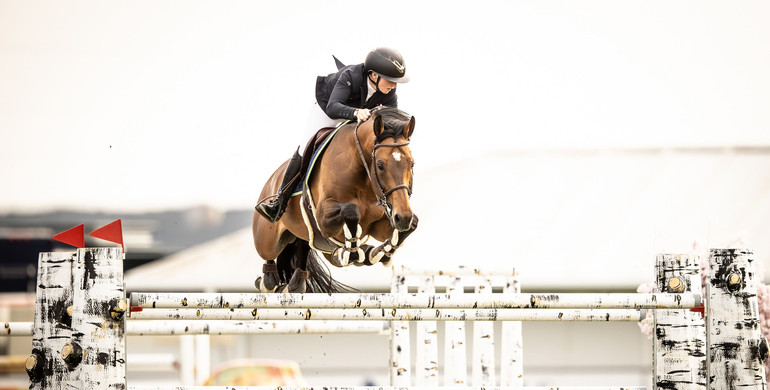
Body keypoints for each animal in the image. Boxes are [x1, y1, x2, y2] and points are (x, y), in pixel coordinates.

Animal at [250, 106, 420, 292]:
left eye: (412, 163)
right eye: (380, 165)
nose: (402, 217)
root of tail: (273, 179)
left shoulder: (380, 225)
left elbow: (412, 224)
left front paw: (380, 253)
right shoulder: (323, 220)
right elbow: (351, 211)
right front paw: (353, 252)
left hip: (313, 242)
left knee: (305, 248)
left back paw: (297, 282)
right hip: (267, 240)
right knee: (268, 257)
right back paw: (268, 279)